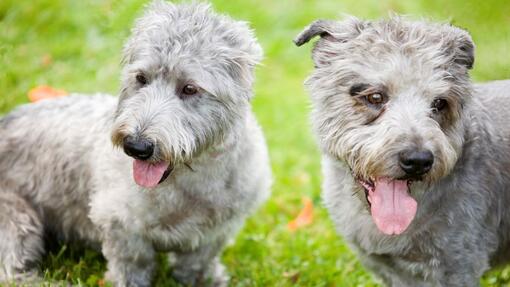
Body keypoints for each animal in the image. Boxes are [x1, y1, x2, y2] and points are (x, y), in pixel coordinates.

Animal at [0, 1, 270, 286]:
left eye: (189, 88)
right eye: (141, 78)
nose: (136, 147)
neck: (189, 180)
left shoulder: (217, 230)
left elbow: (197, 261)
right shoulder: (120, 225)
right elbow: (133, 264)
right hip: (17, 219)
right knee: (11, 271)